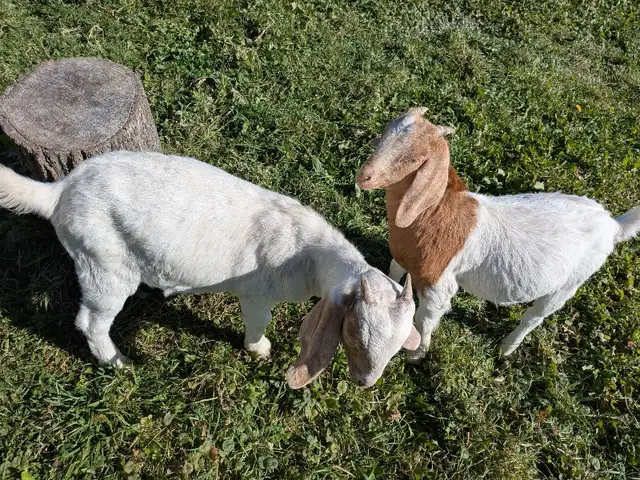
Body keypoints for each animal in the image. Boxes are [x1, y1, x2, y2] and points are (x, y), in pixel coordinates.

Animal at [0, 151, 420, 388]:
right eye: (355, 334)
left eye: (398, 346)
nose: (366, 383)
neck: (308, 252)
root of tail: (59, 192)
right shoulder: (257, 294)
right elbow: (258, 322)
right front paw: (259, 350)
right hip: (104, 263)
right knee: (90, 320)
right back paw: (118, 363)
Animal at [357, 107, 640, 362]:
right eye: (386, 132)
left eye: (415, 160)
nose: (364, 176)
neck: (433, 212)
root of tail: (612, 224)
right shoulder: (402, 258)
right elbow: (392, 272)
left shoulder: (438, 285)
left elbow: (425, 320)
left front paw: (416, 355)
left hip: (571, 282)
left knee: (534, 316)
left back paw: (507, 348)